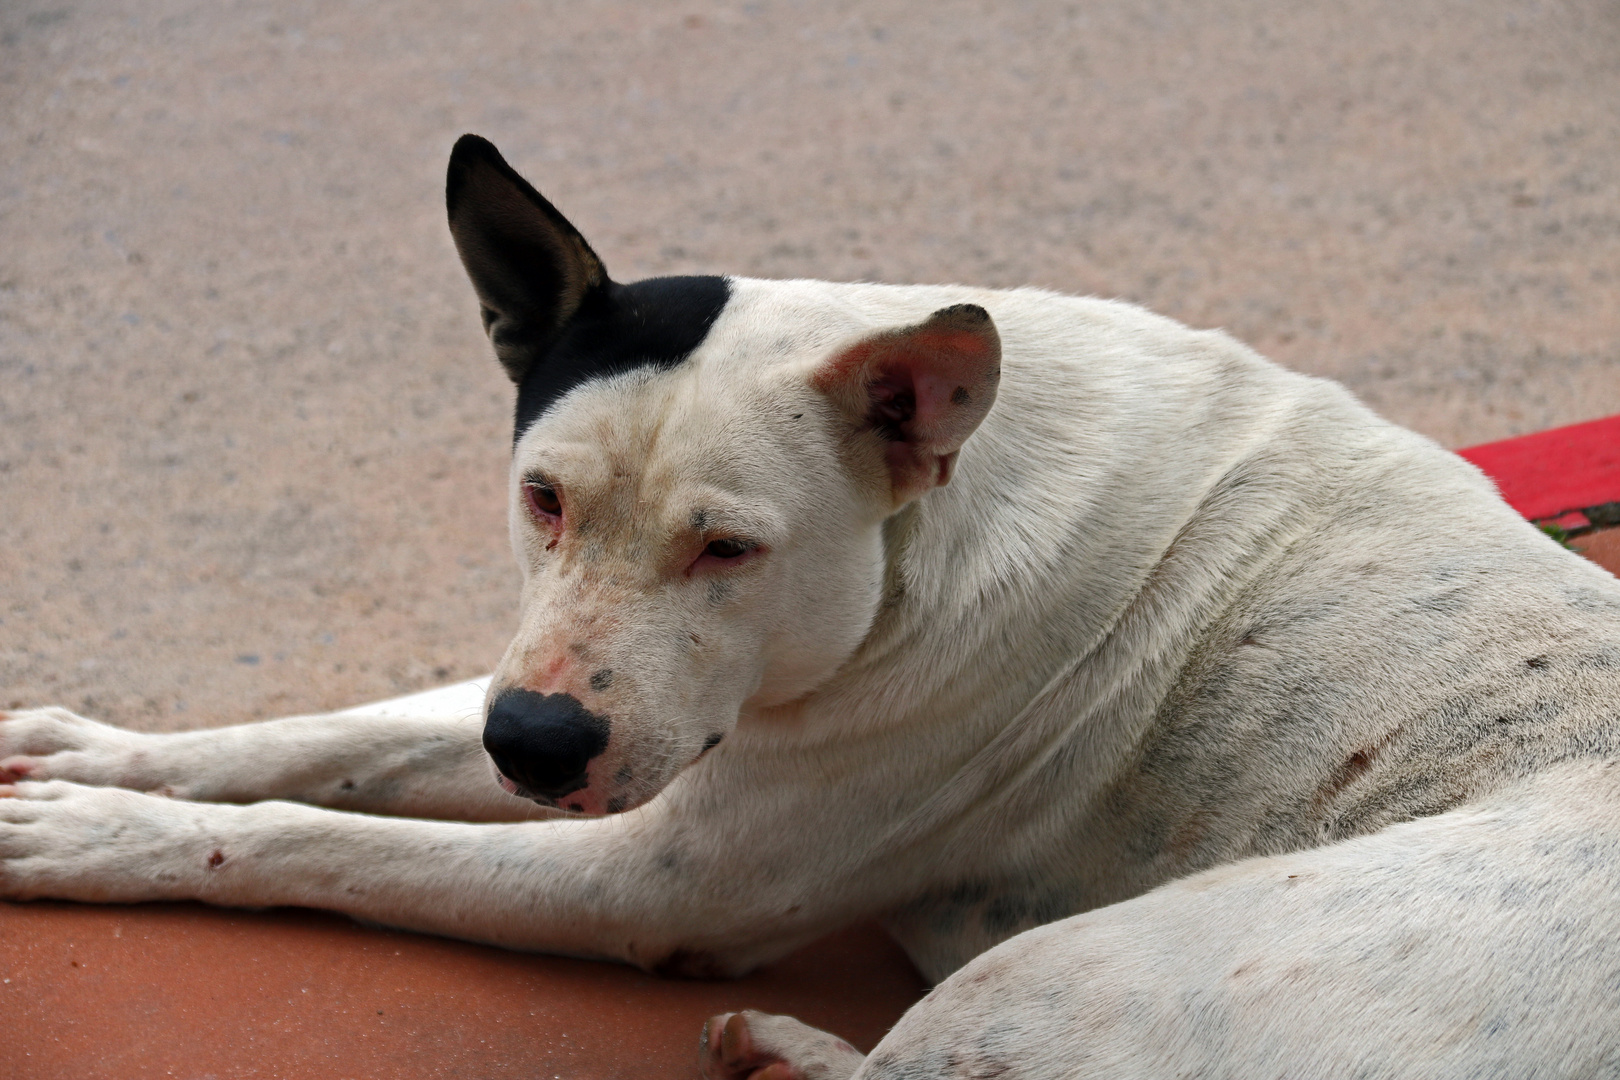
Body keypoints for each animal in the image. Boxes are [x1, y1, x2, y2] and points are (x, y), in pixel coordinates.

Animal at [3, 137, 1620, 1080]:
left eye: (730, 548)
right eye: (542, 498)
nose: (532, 747)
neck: (928, 525)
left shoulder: (655, 881)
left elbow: (315, 839)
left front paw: (93, 835)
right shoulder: (587, 704)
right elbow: (323, 739)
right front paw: (94, 754)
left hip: (1075, 974)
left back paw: (791, 1048)